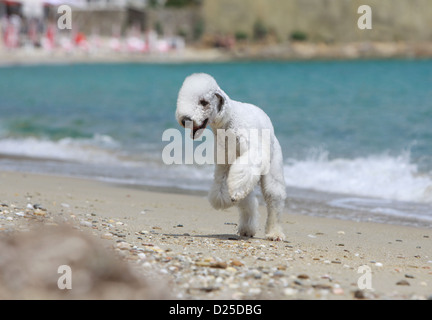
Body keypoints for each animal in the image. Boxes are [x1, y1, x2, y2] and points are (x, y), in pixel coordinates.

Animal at [176, 74, 286, 241]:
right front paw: (226, 198)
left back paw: (275, 233)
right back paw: (247, 228)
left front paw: (233, 194)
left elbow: (246, 168)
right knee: (248, 202)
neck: (229, 121)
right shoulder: (225, 163)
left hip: (273, 169)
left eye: (203, 102)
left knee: (274, 200)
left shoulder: (253, 152)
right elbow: (221, 185)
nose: (184, 119)